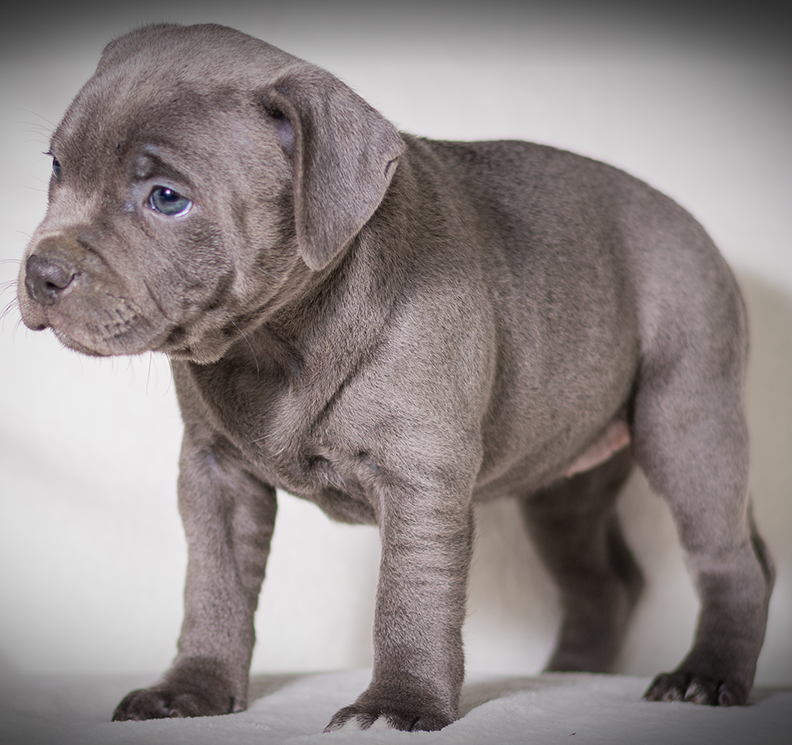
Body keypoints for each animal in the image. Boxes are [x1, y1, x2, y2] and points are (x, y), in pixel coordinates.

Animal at [17, 24, 772, 732]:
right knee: (605, 579)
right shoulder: (214, 472)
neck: (275, 339)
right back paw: (572, 673)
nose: (40, 272)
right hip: (564, 483)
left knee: (731, 560)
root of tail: (697, 230)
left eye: (167, 198)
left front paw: (399, 705)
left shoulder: (420, 477)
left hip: (688, 425)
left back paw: (705, 676)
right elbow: (213, 585)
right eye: (56, 167)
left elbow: (410, 596)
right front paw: (190, 690)